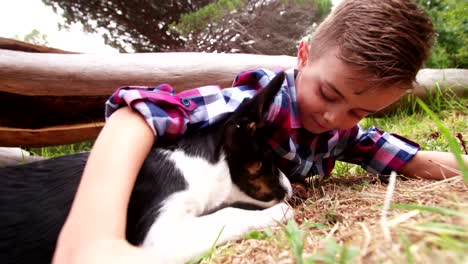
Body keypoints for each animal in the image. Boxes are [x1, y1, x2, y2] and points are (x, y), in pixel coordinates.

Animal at [0, 72, 292, 264]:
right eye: (268, 158)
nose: (290, 189)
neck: (196, 164)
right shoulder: (158, 236)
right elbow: (229, 214)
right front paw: (280, 211)